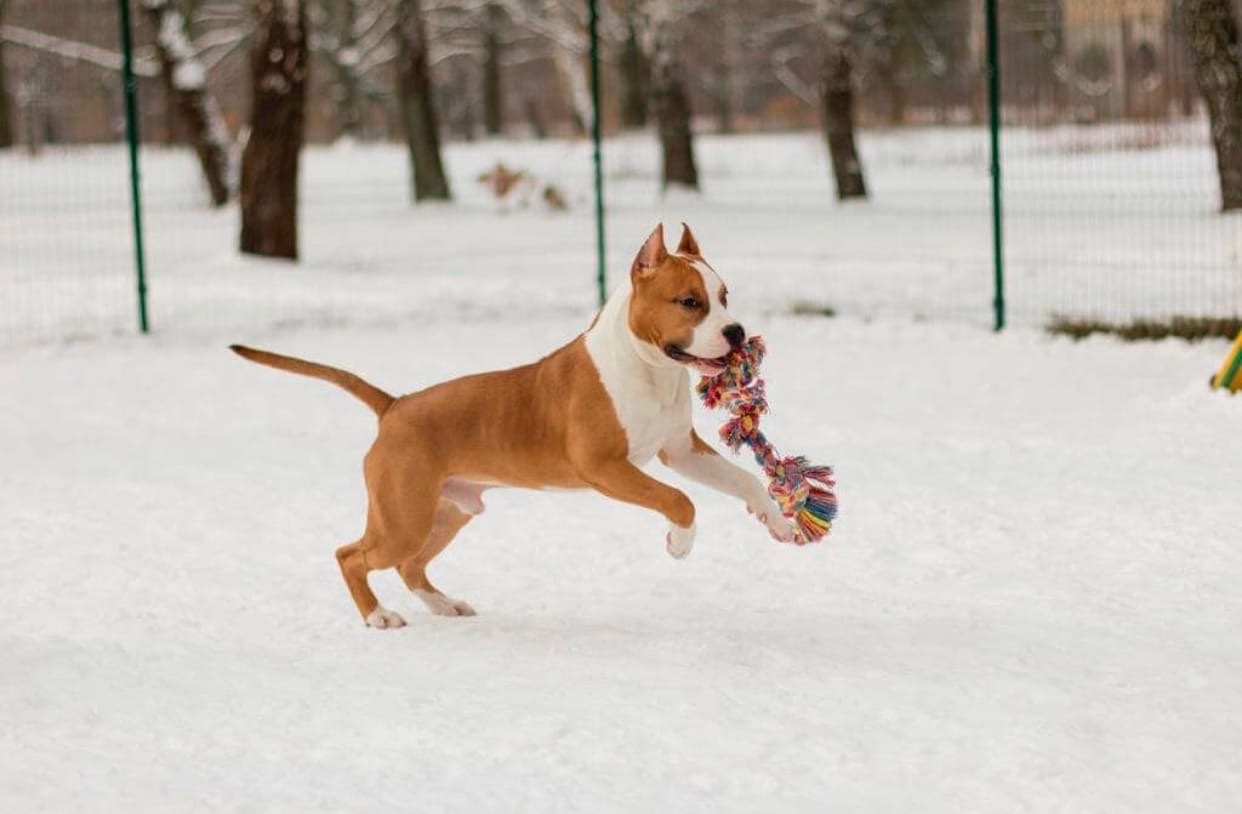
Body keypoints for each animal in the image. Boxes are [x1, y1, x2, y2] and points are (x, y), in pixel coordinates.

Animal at [233, 224, 794, 631]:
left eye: (725, 296)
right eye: (689, 301)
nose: (736, 331)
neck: (648, 366)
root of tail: (394, 406)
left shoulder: (679, 450)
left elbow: (744, 480)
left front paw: (778, 519)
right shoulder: (604, 467)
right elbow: (680, 500)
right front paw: (680, 543)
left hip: (448, 510)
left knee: (410, 564)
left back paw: (444, 605)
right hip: (403, 517)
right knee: (352, 555)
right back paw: (378, 616)